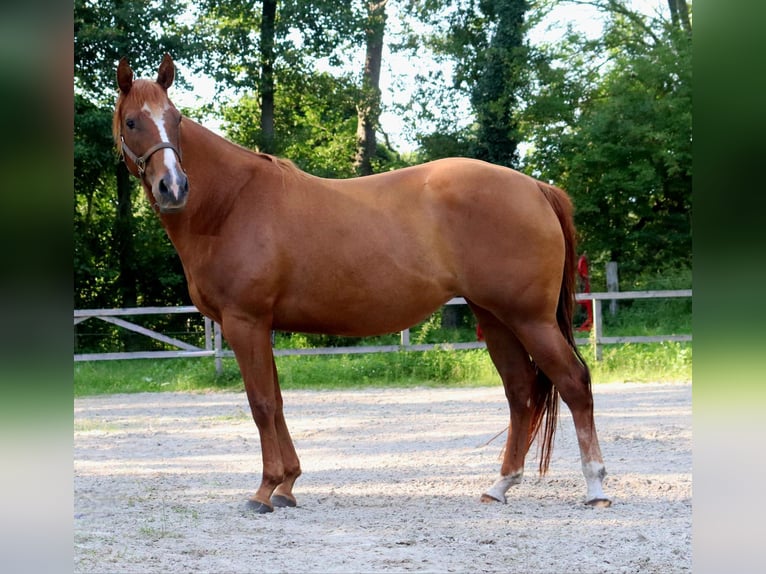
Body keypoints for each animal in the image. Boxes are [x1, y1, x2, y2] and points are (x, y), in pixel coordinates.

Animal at [114, 55, 612, 512]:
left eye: (176, 119)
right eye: (133, 121)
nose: (174, 187)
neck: (232, 203)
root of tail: (535, 188)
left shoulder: (245, 322)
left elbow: (260, 403)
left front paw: (264, 490)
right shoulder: (261, 326)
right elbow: (277, 400)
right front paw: (288, 484)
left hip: (529, 319)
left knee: (573, 383)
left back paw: (595, 487)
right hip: (495, 318)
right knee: (520, 392)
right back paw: (500, 485)